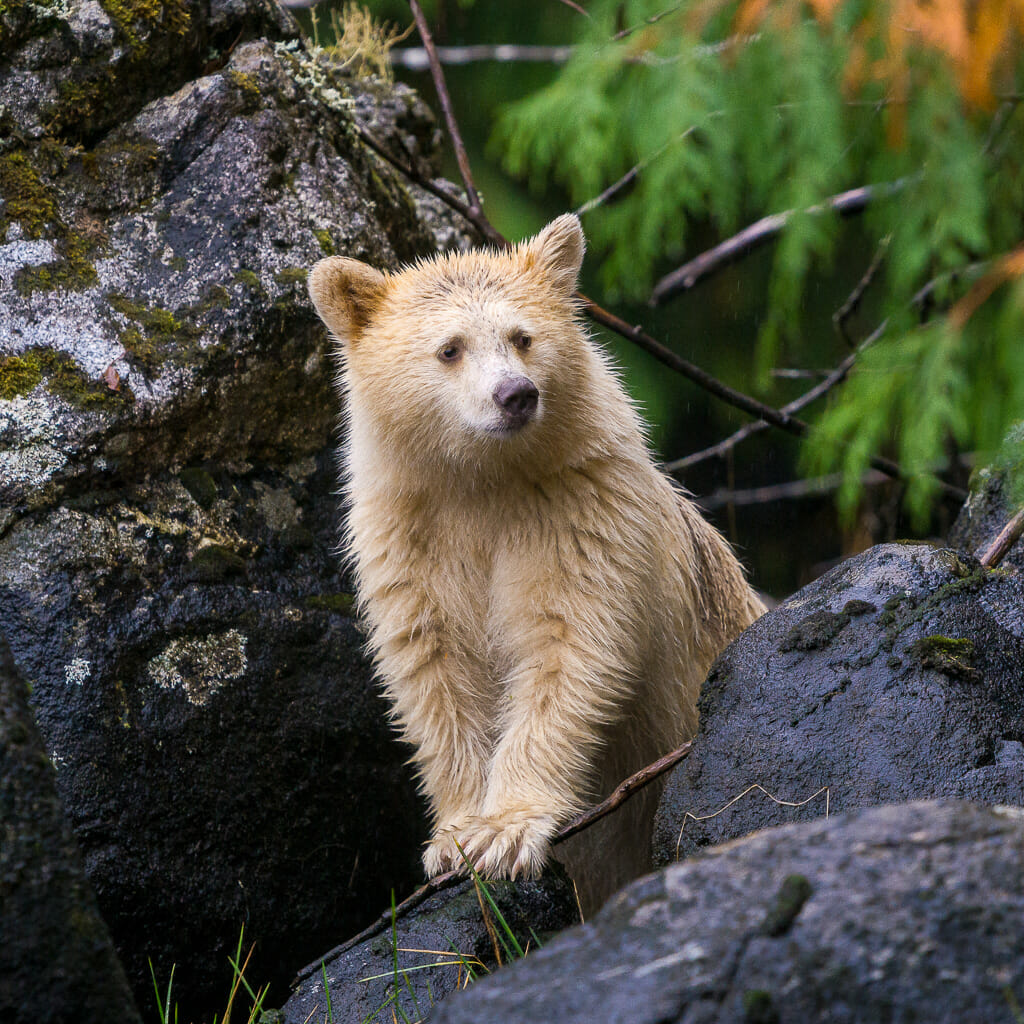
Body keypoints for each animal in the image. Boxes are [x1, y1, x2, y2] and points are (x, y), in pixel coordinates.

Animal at [307, 216, 765, 913]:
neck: (484, 481)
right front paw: (454, 837)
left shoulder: (580, 511)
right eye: (450, 349)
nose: (515, 395)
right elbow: (435, 666)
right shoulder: (409, 537)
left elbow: (567, 644)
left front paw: (506, 831)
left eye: (523, 337)